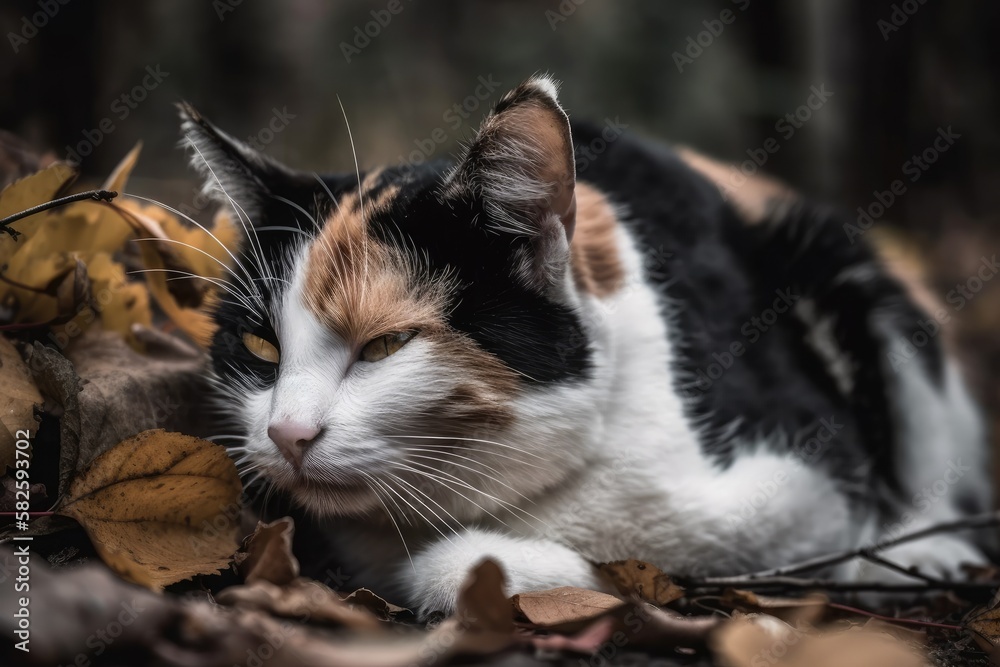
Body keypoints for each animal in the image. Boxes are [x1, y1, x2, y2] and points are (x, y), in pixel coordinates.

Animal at [184, 74, 996, 616]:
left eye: (386, 344)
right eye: (258, 345)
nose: (286, 433)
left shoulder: (806, 482)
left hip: (839, 264)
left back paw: (924, 549)